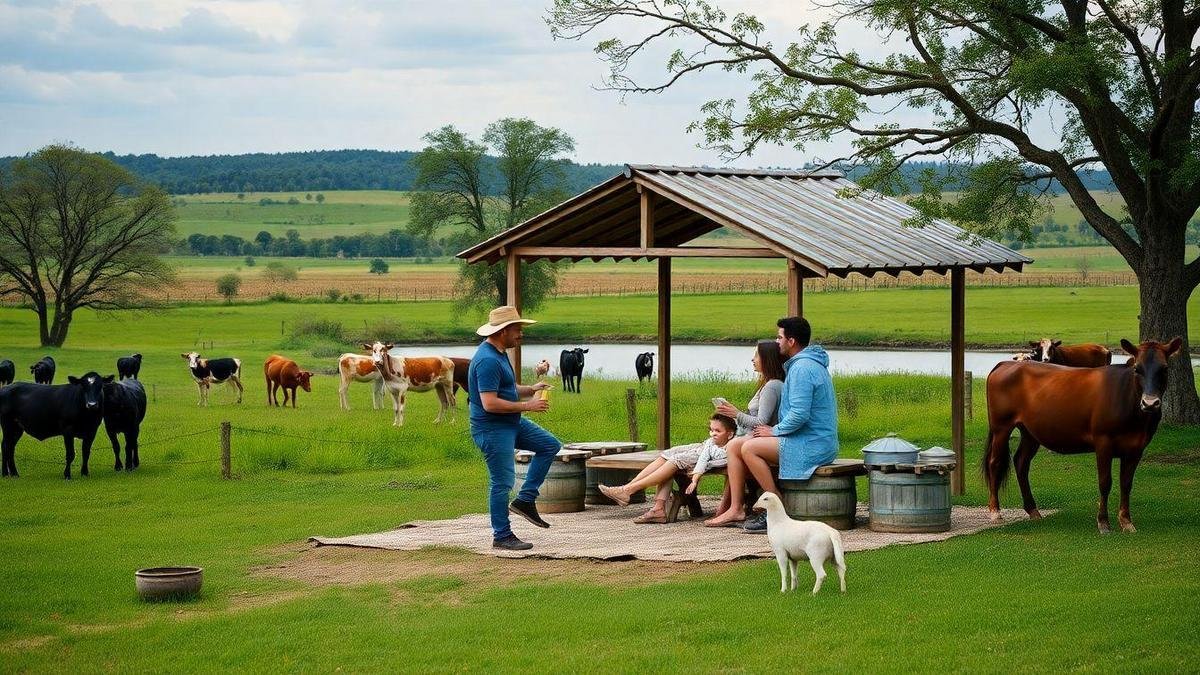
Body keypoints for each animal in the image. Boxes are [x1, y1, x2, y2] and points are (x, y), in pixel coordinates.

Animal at [984, 336, 1180, 530]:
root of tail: (1005, 364)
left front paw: (1126, 521)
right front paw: (1103, 522)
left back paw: (1033, 510)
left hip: (1030, 432)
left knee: (1021, 463)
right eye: (1137, 369)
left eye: (1165, 369)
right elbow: (1105, 482)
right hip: (1001, 426)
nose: (1150, 403)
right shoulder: (1103, 441)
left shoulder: (1137, 448)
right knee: (995, 462)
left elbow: (1126, 483)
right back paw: (995, 511)